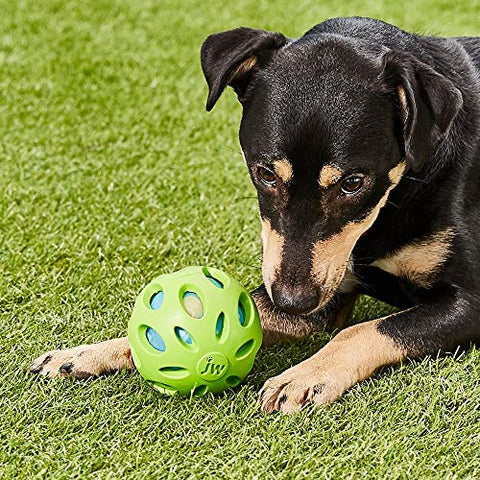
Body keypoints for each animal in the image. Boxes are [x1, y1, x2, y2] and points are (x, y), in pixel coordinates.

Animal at [31, 16, 480, 414]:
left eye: (353, 183)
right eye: (265, 174)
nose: (292, 302)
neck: (399, 195)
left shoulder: (469, 303)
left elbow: (364, 329)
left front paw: (302, 376)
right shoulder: (329, 289)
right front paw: (85, 354)